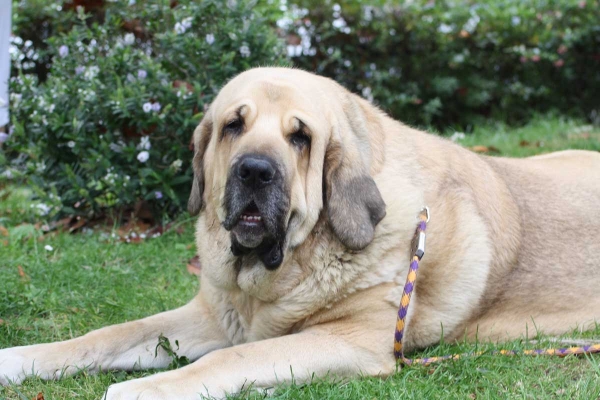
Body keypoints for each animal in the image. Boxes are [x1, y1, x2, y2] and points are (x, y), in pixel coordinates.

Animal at [1, 67, 600, 398]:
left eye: (300, 137)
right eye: (233, 125)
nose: (255, 171)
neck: (277, 274)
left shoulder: (351, 341)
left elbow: (230, 359)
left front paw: (146, 388)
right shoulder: (210, 316)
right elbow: (107, 334)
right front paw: (21, 359)